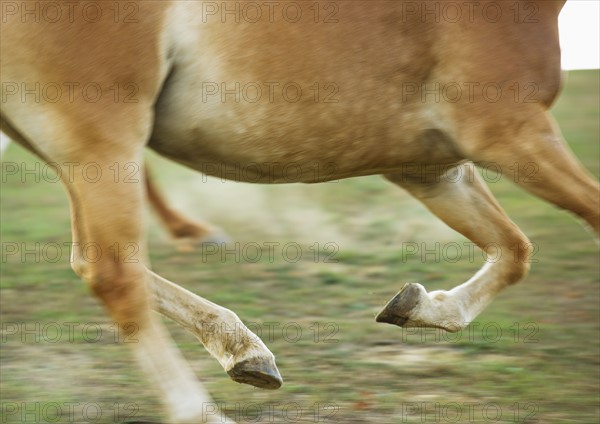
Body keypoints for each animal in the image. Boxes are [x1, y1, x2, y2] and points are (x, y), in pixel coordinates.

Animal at [2, 1, 596, 422]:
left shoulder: (430, 169)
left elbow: (513, 249)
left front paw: (420, 307)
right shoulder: (513, 133)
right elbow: (583, 219)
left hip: (73, 153)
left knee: (90, 262)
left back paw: (244, 351)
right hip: (102, 140)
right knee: (112, 271)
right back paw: (203, 408)